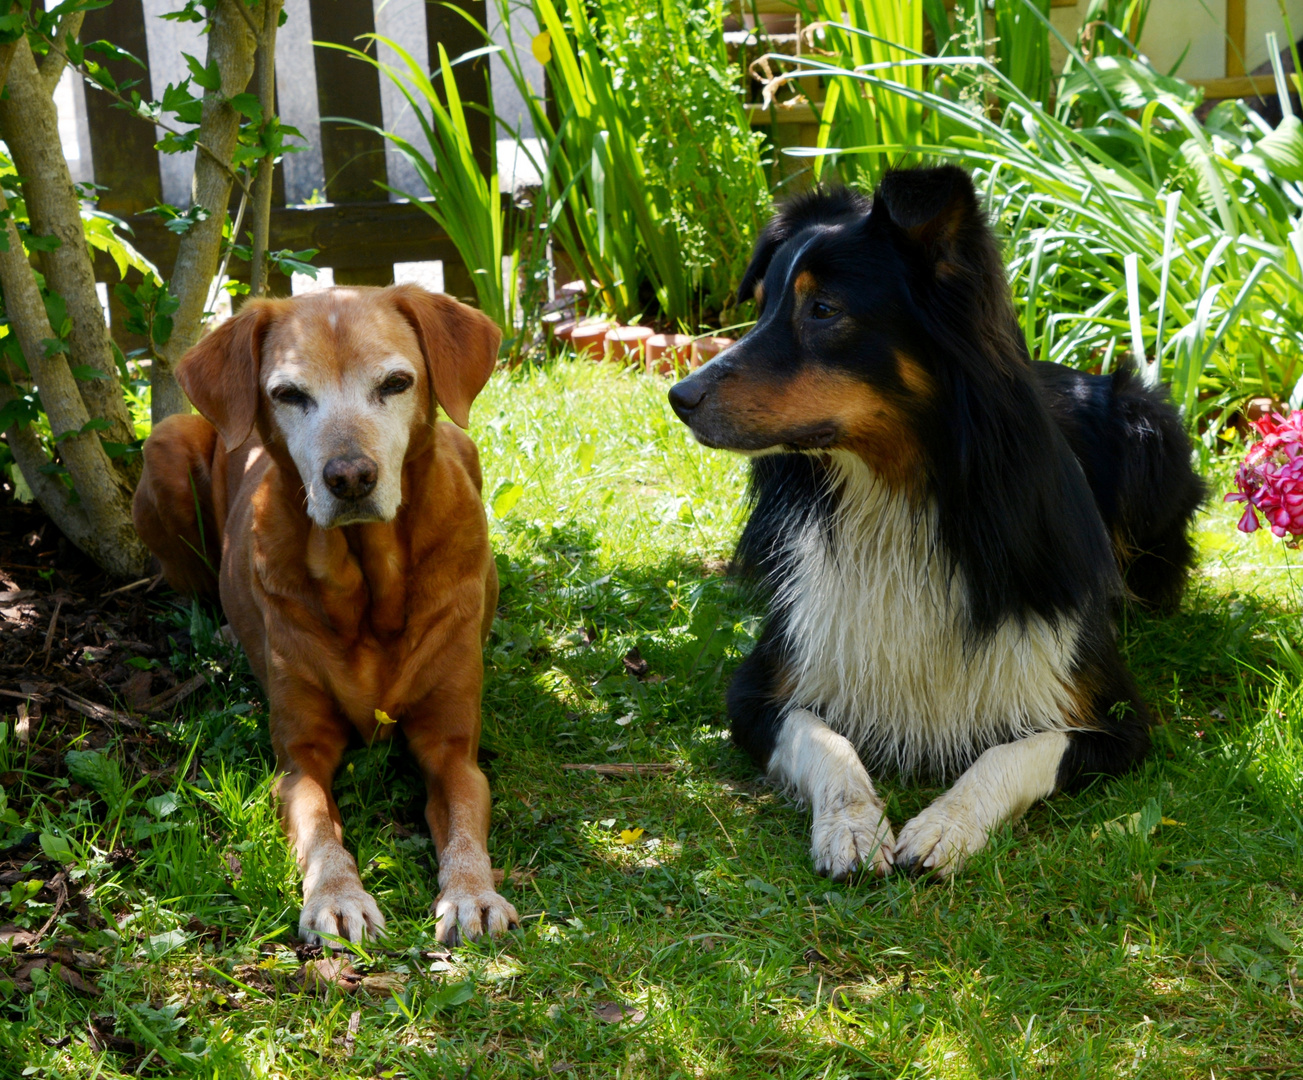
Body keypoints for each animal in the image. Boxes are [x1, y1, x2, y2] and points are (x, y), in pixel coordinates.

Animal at [133, 284, 518, 943]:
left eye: (396, 383)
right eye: (289, 394)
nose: (351, 476)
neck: (367, 584)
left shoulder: (452, 745)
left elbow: (466, 819)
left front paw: (472, 892)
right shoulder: (299, 755)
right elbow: (318, 825)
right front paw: (337, 895)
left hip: (463, 442)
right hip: (163, 445)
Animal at [672, 166, 1198, 875]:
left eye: (823, 310)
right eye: (763, 307)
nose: (678, 397)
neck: (899, 501)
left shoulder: (1114, 714)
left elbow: (1016, 750)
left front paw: (948, 823)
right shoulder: (760, 687)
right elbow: (822, 737)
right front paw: (852, 824)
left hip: (1151, 429)